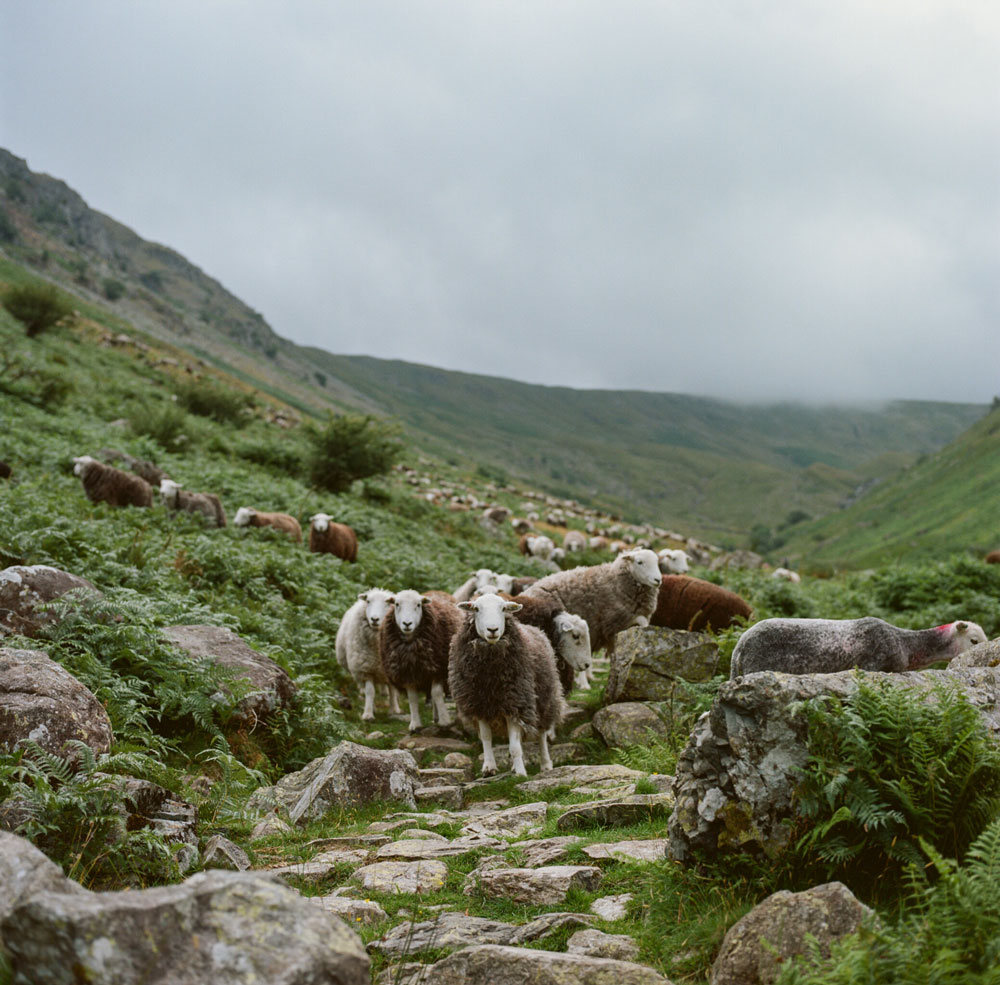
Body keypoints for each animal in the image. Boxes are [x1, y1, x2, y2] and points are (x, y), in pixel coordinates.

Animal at [334, 588, 400, 720]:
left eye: (388, 603)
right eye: (368, 601)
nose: (374, 619)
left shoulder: (392, 669)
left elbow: (393, 690)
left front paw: (394, 710)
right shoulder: (366, 669)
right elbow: (370, 691)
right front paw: (368, 713)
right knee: (365, 688)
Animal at [378, 584, 464, 732]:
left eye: (418, 605)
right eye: (397, 604)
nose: (407, 623)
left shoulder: (438, 668)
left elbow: (436, 693)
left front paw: (445, 721)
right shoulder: (407, 672)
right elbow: (412, 698)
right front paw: (415, 724)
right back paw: (435, 717)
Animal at [450, 592, 568, 776]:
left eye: (503, 608)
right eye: (476, 609)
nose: (492, 630)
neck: (490, 677)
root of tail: (538, 630)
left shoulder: (515, 703)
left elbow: (514, 746)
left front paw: (520, 773)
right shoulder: (479, 704)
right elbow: (486, 738)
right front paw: (489, 767)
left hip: (544, 699)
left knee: (541, 733)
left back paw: (545, 764)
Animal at [524, 548, 664, 656]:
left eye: (657, 562)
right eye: (640, 562)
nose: (658, 580)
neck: (616, 583)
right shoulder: (616, 621)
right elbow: (642, 622)